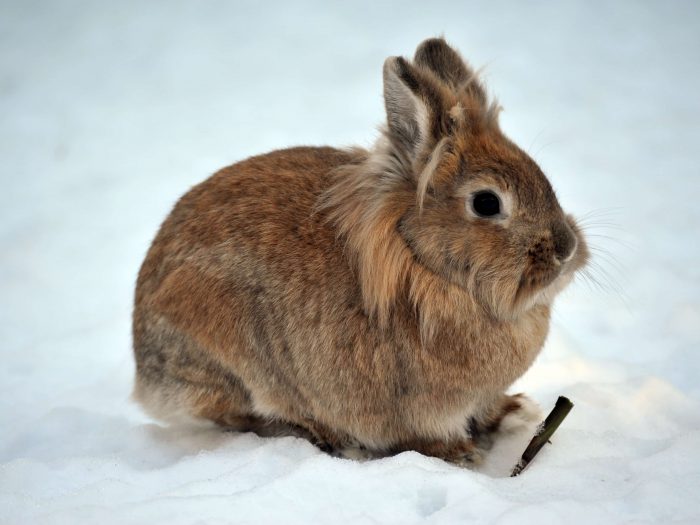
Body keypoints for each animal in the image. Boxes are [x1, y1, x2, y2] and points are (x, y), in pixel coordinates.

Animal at [131, 36, 584, 462]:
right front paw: (460, 453)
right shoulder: (421, 409)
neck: (426, 266)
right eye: (487, 203)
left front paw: (517, 413)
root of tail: (145, 369)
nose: (566, 249)